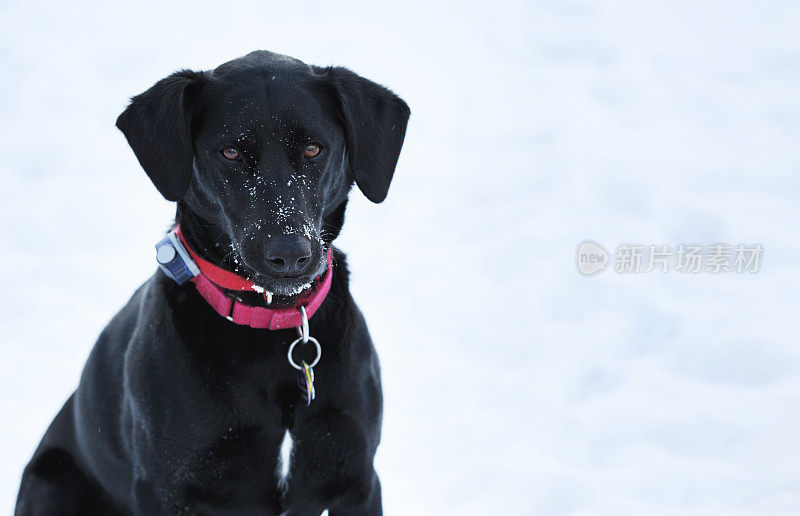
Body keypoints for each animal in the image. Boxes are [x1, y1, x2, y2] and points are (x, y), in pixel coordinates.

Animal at [15, 49, 410, 516]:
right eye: (231, 152)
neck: (270, 331)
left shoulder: (359, 478)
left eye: (314, 149)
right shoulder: (166, 489)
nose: (290, 253)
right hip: (52, 486)